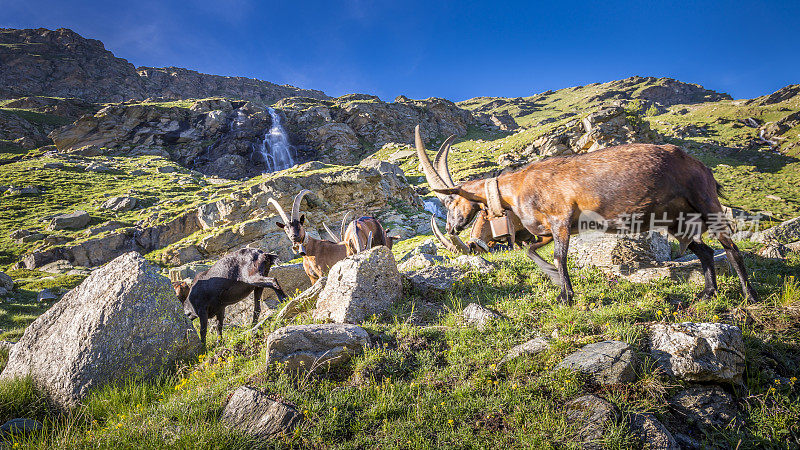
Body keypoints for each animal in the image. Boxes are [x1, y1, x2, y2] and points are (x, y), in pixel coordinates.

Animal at [416, 125, 760, 304]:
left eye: (450, 201)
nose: (453, 228)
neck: (516, 188)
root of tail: (702, 166)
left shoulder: (560, 221)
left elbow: (559, 256)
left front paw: (566, 297)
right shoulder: (545, 230)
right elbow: (532, 250)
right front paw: (555, 280)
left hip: (705, 201)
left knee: (730, 246)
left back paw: (749, 295)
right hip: (675, 219)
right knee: (705, 251)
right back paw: (708, 292)